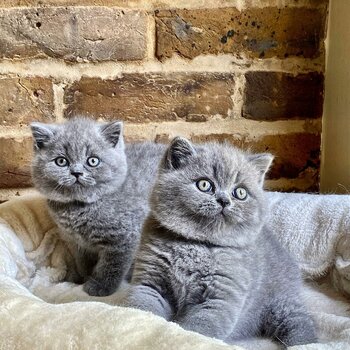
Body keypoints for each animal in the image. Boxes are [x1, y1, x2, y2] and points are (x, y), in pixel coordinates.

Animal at [30, 117, 165, 296]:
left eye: (93, 161)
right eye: (61, 161)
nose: (76, 173)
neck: (81, 207)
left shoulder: (125, 237)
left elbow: (112, 265)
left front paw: (100, 287)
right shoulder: (77, 242)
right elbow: (83, 263)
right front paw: (83, 278)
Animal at [128, 137, 318, 348]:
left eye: (240, 193)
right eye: (204, 184)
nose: (224, 200)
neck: (196, 245)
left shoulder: (221, 297)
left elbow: (199, 330)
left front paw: (185, 338)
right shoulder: (150, 279)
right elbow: (144, 308)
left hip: (282, 302)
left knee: (299, 321)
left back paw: (306, 344)